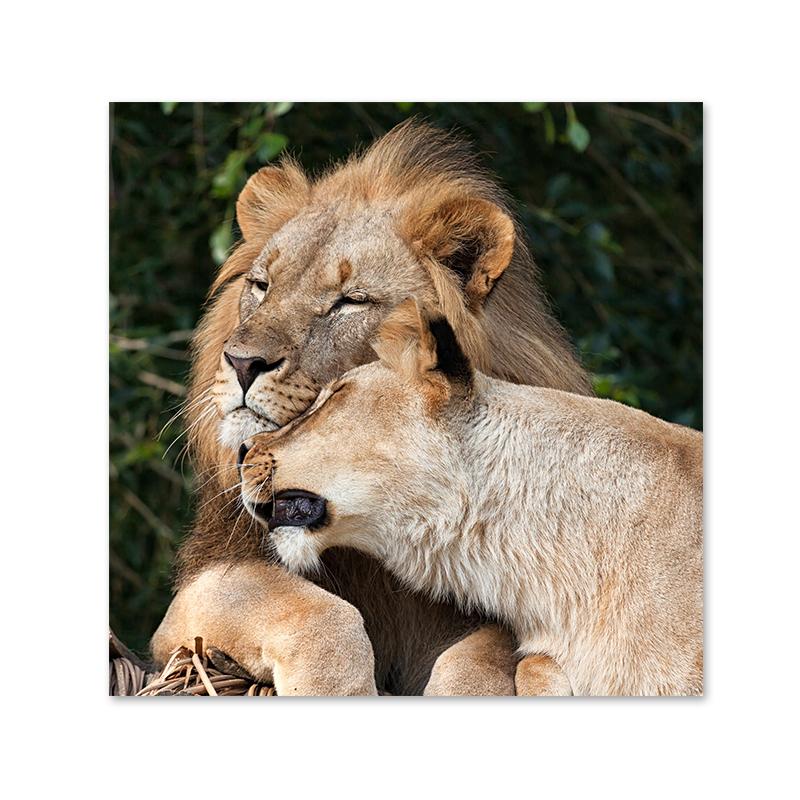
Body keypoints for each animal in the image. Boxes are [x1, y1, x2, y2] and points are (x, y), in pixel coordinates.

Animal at [151, 120, 592, 695]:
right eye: (261, 286)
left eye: (350, 301)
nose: (243, 362)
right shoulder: (195, 595)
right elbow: (321, 614)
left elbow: (483, 658)